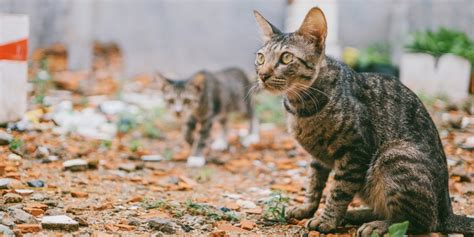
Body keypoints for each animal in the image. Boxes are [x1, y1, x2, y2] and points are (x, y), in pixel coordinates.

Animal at [254, 6, 472, 235]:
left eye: (286, 58)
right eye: (260, 58)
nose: (262, 74)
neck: (300, 107)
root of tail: (447, 211)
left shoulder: (355, 152)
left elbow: (338, 191)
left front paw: (327, 221)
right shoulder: (318, 157)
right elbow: (313, 183)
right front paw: (306, 208)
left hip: (393, 157)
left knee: (417, 221)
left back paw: (376, 225)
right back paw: (356, 214)